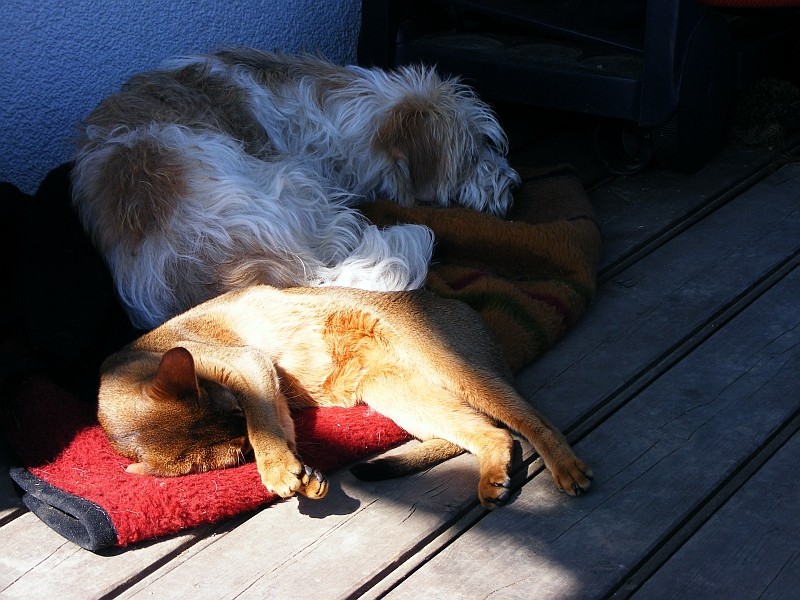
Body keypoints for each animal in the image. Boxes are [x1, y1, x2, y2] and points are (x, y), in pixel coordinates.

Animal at [97, 284, 592, 508]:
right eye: (236, 454)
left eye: (234, 409)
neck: (134, 360)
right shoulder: (270, 391)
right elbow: (283, 430)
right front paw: (304, 476)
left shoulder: (249, 367)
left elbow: (266, 426)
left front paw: (278, 471)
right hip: (396, 393)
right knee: (492, 433)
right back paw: (492, 479)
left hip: (455, 366)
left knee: (531, 421)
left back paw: (567, 469)